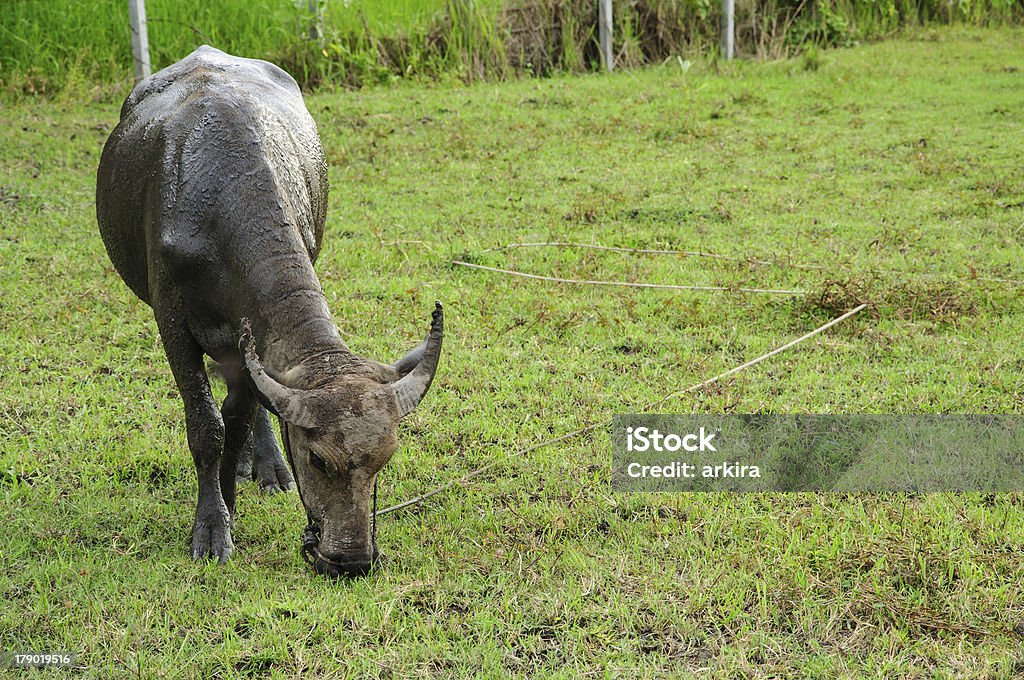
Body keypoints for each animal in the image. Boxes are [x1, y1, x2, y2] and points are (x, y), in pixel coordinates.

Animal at [96, 45, 444, 577]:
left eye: (384, 459)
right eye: (317, 459)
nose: (351, 560)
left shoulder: (247, 332)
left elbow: (239, 415)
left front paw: (230, 496)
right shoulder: (171, 320)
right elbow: (207, 425)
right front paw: (213, 525)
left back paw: (264, 467)